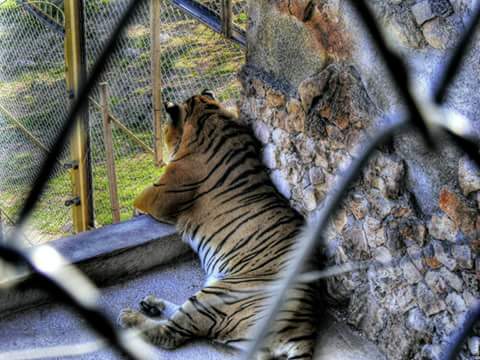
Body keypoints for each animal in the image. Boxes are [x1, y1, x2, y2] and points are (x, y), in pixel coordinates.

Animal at [116, 90, 320, 360]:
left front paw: (135, 211)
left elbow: (138, 201)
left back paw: (130, 316)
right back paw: (151, 303)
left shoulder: (159, 194)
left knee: (171, 334)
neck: (209, 114)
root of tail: (303, 328)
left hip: (219, 296)